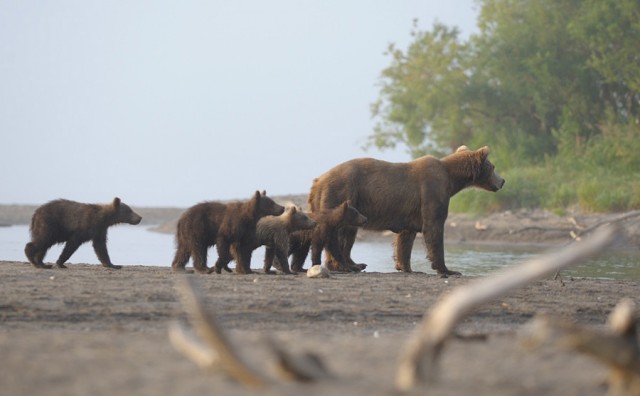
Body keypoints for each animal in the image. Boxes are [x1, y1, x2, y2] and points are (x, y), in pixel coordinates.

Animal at [308, 144, 504, 276]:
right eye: (493, 167)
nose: (502, 181)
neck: (452, 179)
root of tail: (318, 181)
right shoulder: (433, 190)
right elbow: (434, 227)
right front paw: (448, 269)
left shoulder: (410, 212)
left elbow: (406, 237)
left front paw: (406, 266)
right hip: (343, 194)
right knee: (341, 231)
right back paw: (347, 265)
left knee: (348, 233)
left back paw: (354, 264)